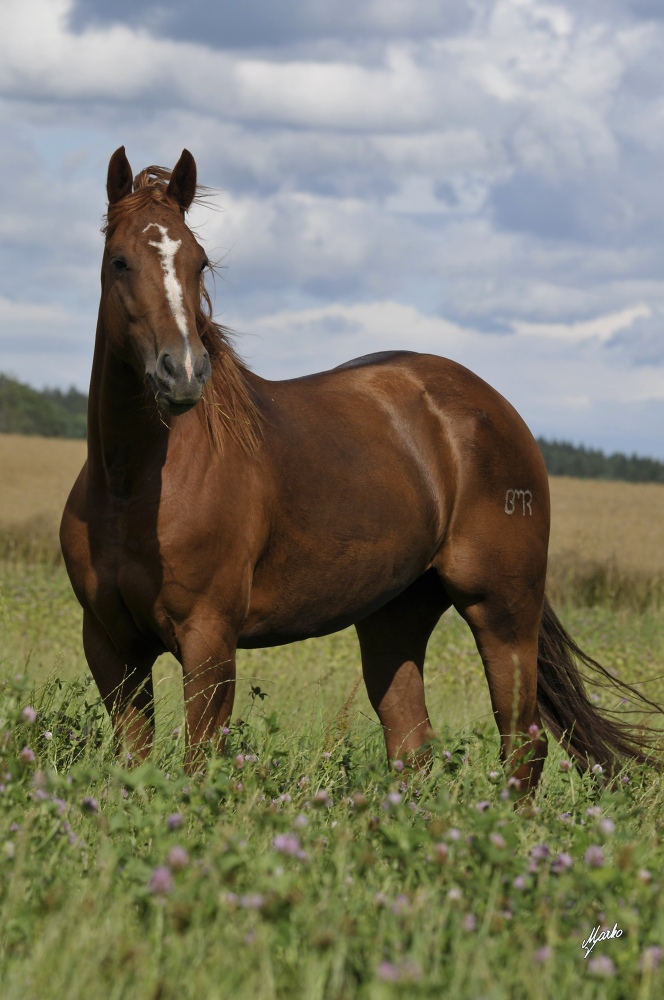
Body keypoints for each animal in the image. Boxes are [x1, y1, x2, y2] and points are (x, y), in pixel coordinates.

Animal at [62, 148, 660, 788]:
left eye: (198, 262)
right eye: (120, 262)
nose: (184, 373)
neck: (132, 487)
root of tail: (496, 410)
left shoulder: (208, 640)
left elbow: (198, 765)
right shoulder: (110, 645)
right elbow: (136, 763)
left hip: (502, 612)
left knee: (523, 747)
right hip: (395, 616)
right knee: (413, 747)